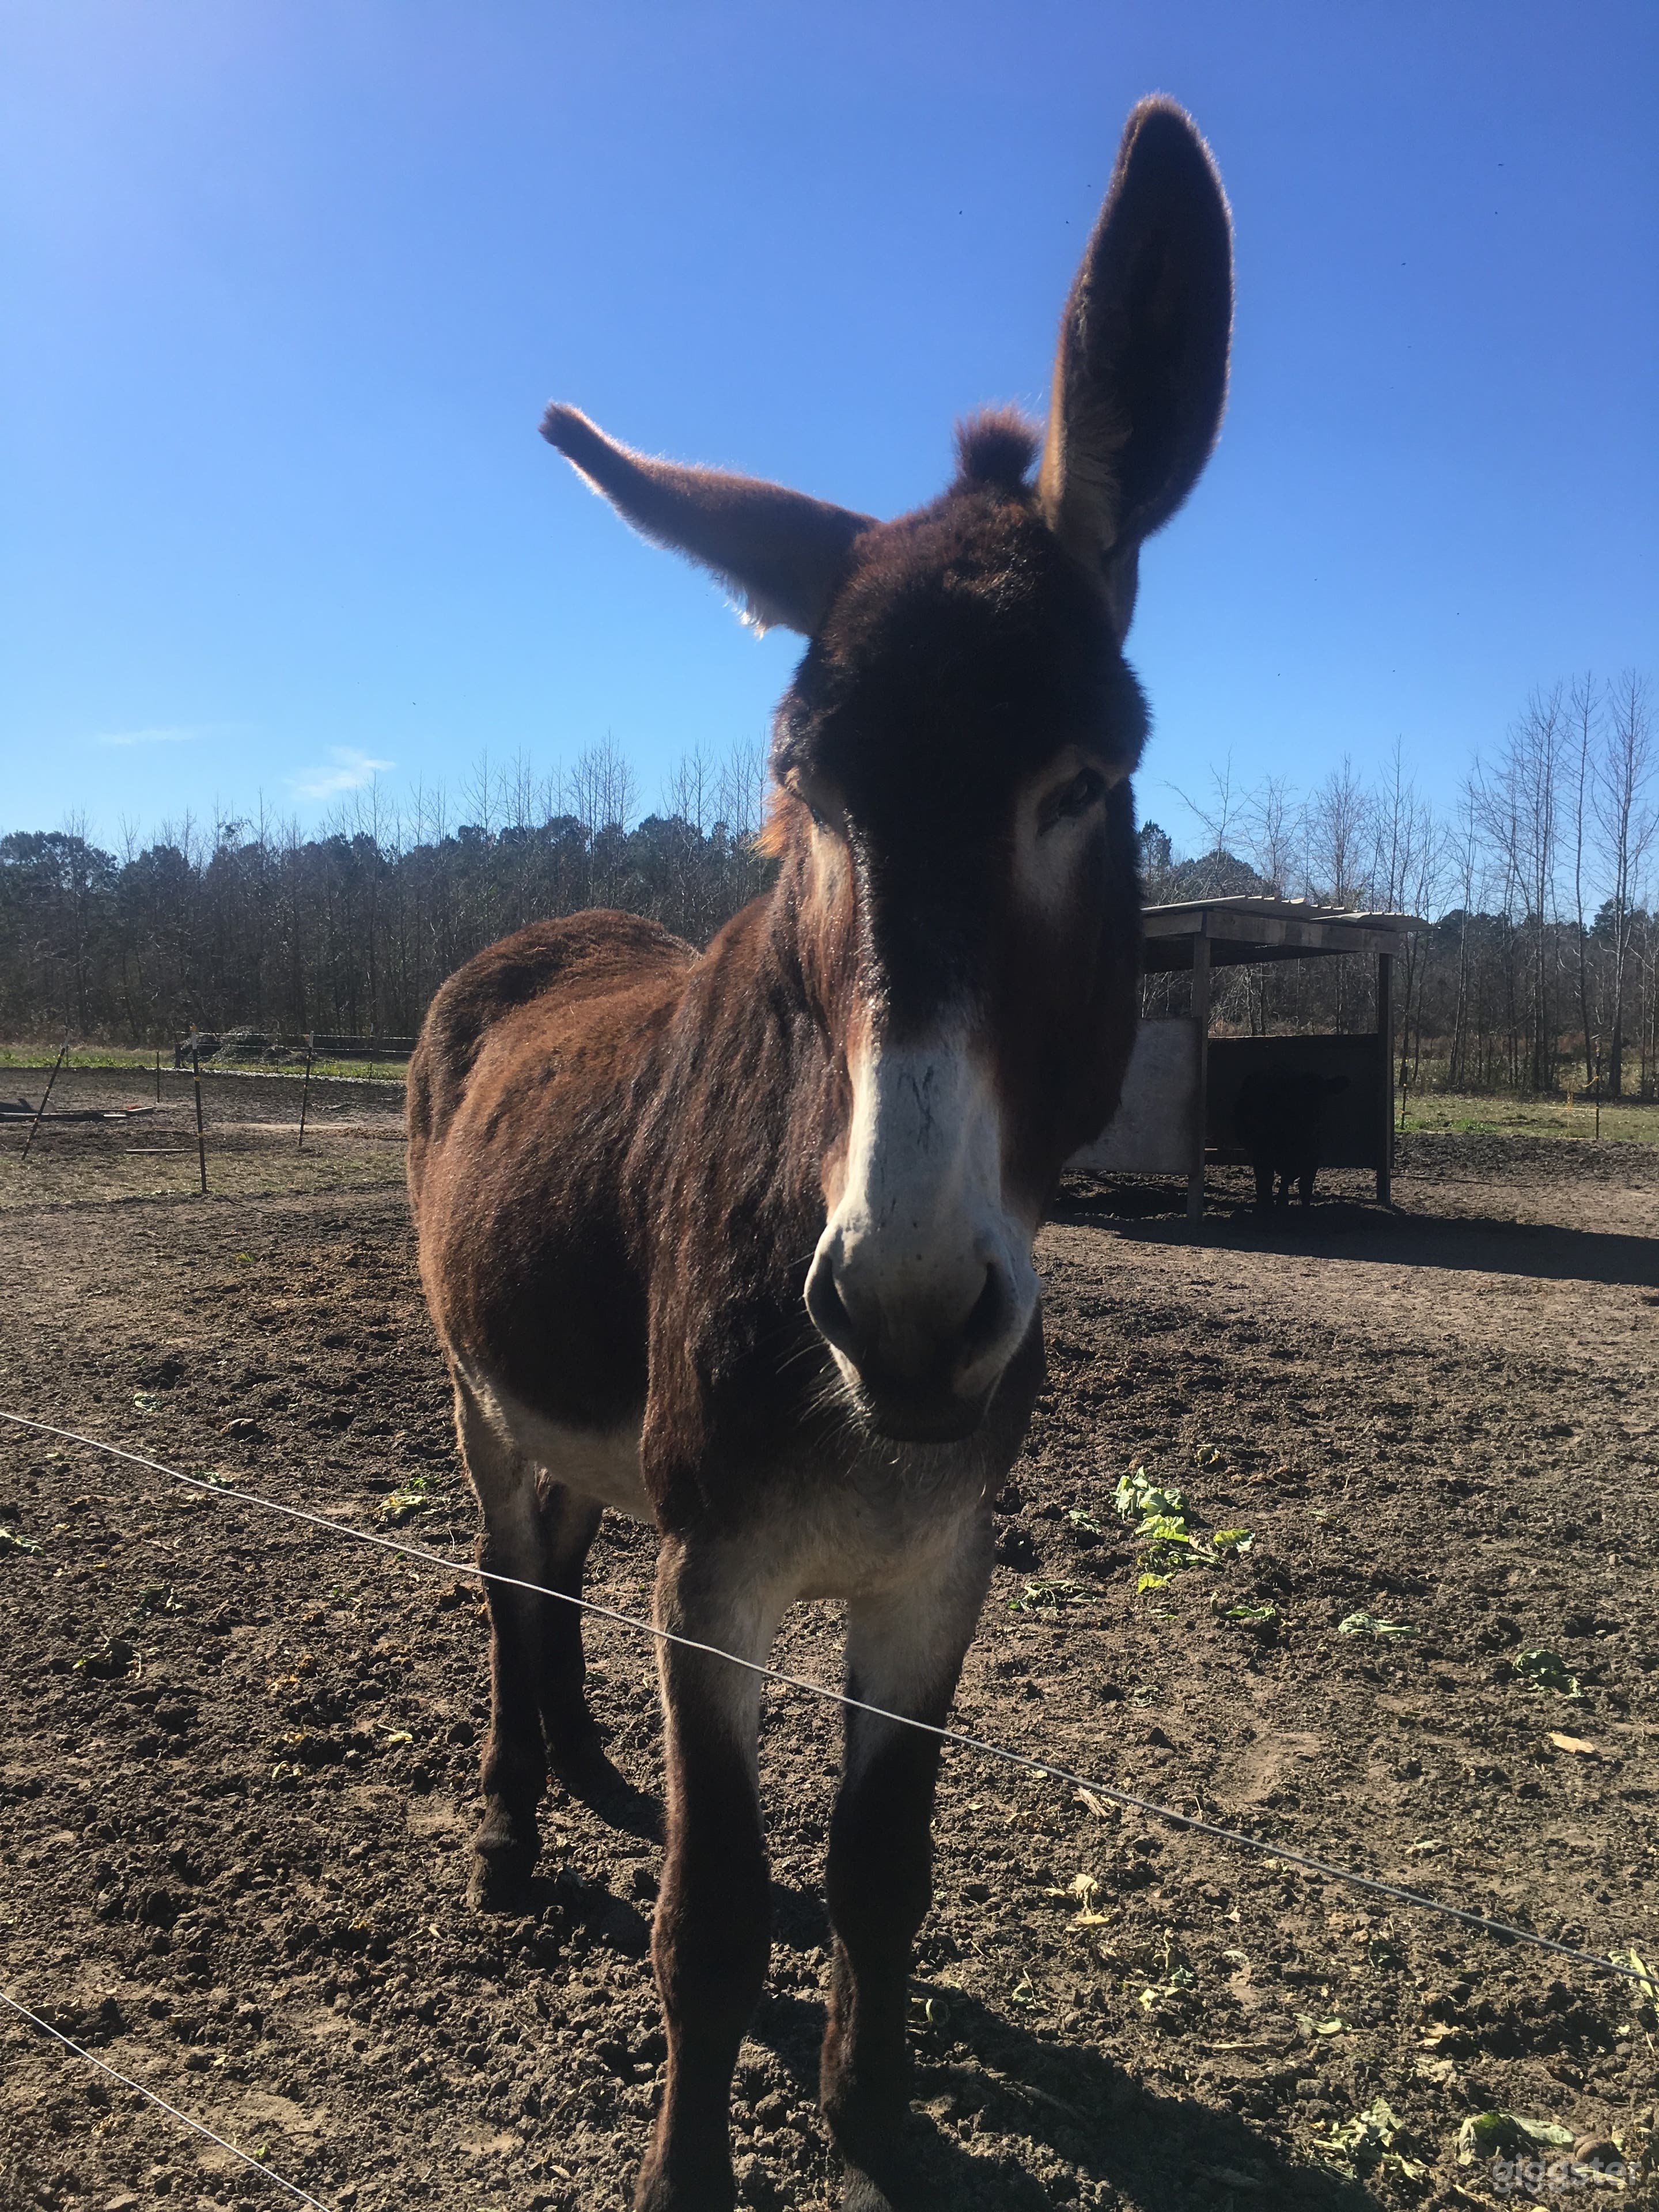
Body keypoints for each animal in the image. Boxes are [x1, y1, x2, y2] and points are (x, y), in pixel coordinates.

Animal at [407, 96, 1232, 2212]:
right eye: (802, 793)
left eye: (1086, 785)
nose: (912, 1313)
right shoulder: (724, 1582)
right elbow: (712, 1920)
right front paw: (689, 2167)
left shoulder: (935, 1582)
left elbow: (880, 1876)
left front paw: (873, 2120)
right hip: (477, 1387)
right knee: (504, 1583)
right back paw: (515, 1832)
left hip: (588, 1419)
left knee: (560, 1560)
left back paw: (587, 1776)